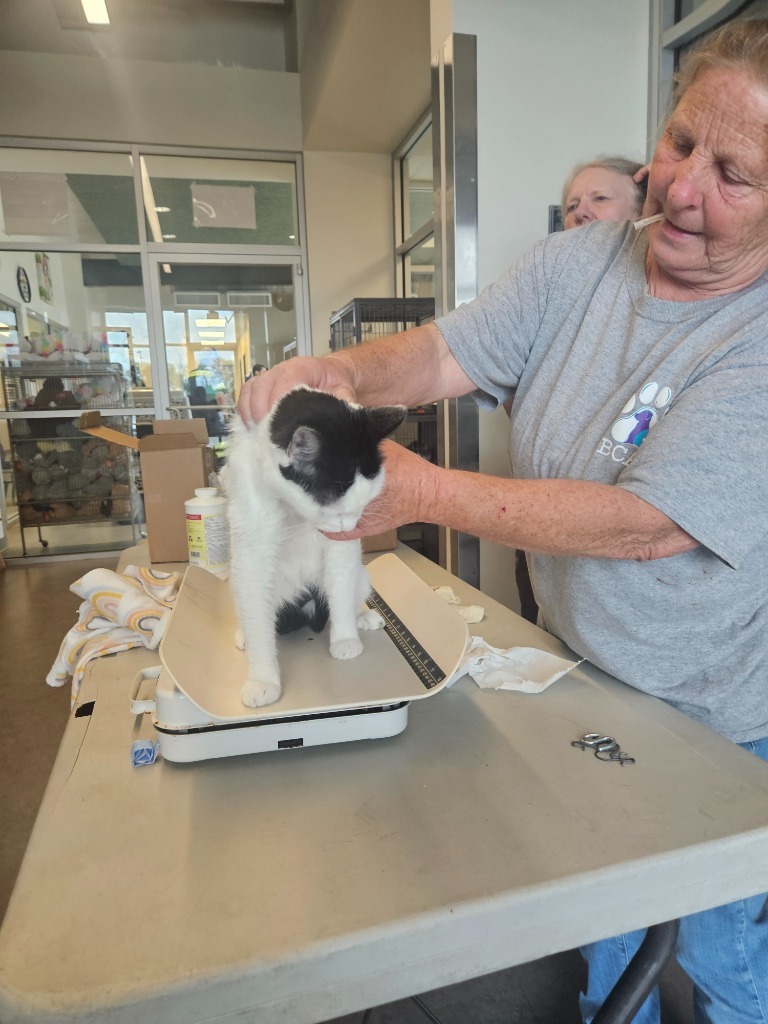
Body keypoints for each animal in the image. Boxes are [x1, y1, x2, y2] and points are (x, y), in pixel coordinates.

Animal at [222, 385, 409, 704]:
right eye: (334, 510)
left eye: (364, 504)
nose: (349, 526)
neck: (293, 513)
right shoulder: (251, 546)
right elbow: (257, 611)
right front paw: (263, 679)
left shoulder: (341, 551)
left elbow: (341, 587)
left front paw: (345, 637)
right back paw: (245, 634)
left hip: (361, 574)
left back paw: (361, 615)